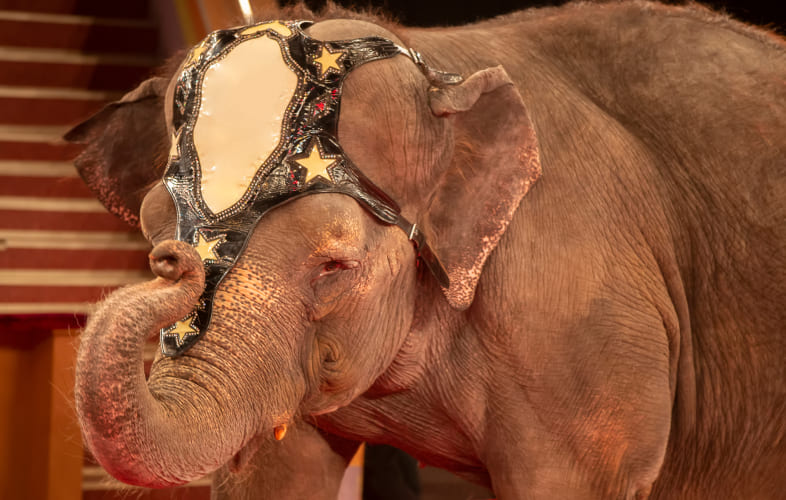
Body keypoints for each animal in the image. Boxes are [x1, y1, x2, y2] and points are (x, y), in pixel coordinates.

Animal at [66, 1, 786, 499]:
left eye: (333, 265)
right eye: (154, 232)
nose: (175, 262)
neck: (438, 64)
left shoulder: (577, 314)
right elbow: (276, 473)